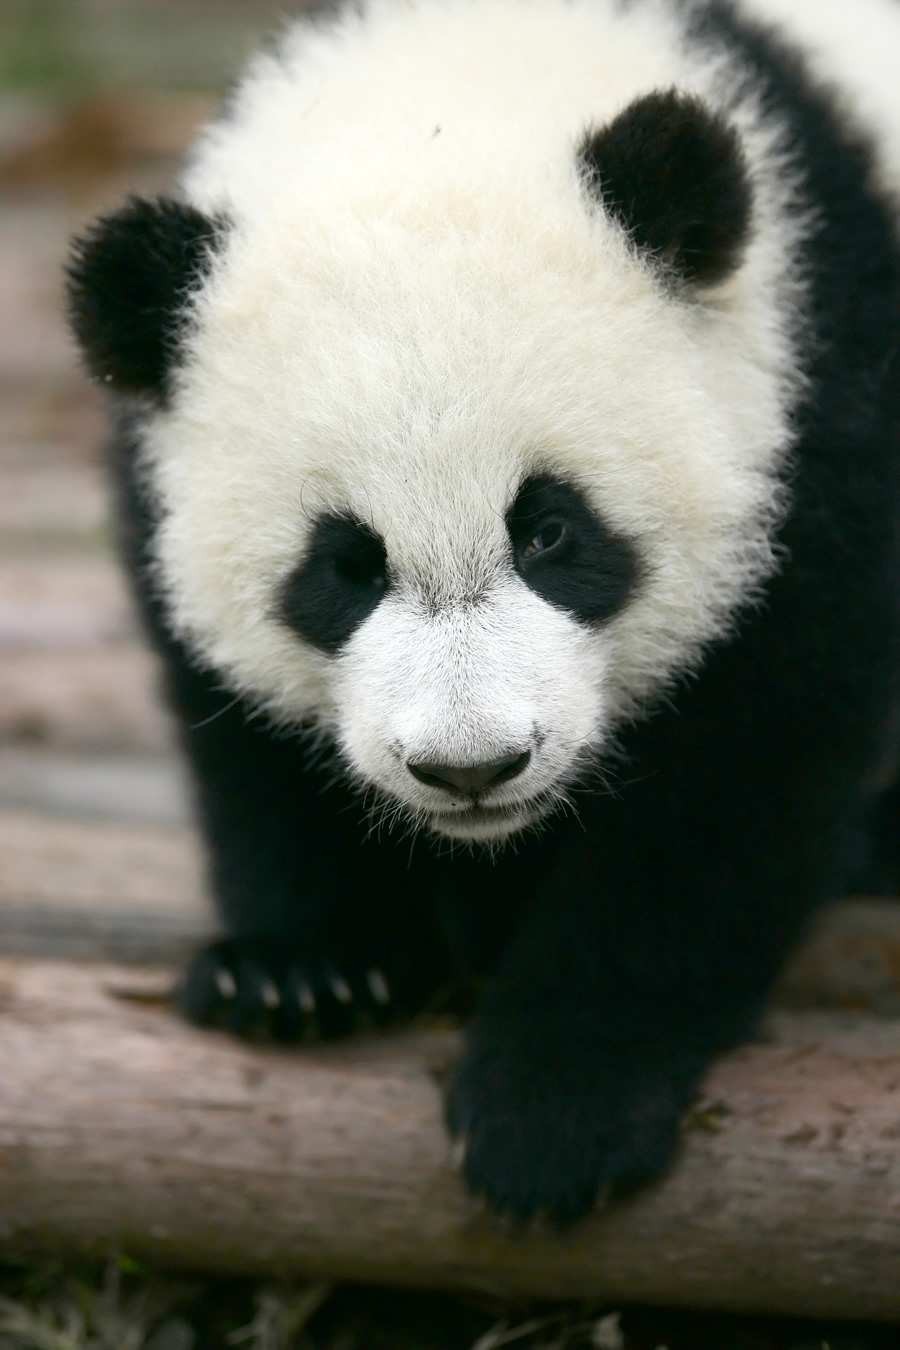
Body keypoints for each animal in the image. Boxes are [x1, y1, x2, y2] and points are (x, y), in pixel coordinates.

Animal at [66, 0, 900, 1225]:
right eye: (346, 567)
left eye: (549, 531)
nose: (472, 768)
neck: (456, 86)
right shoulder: (155, 480)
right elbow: (245, 735)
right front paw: (305, 966)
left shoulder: (817, 399)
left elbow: (741, 769)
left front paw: (558, 1098)